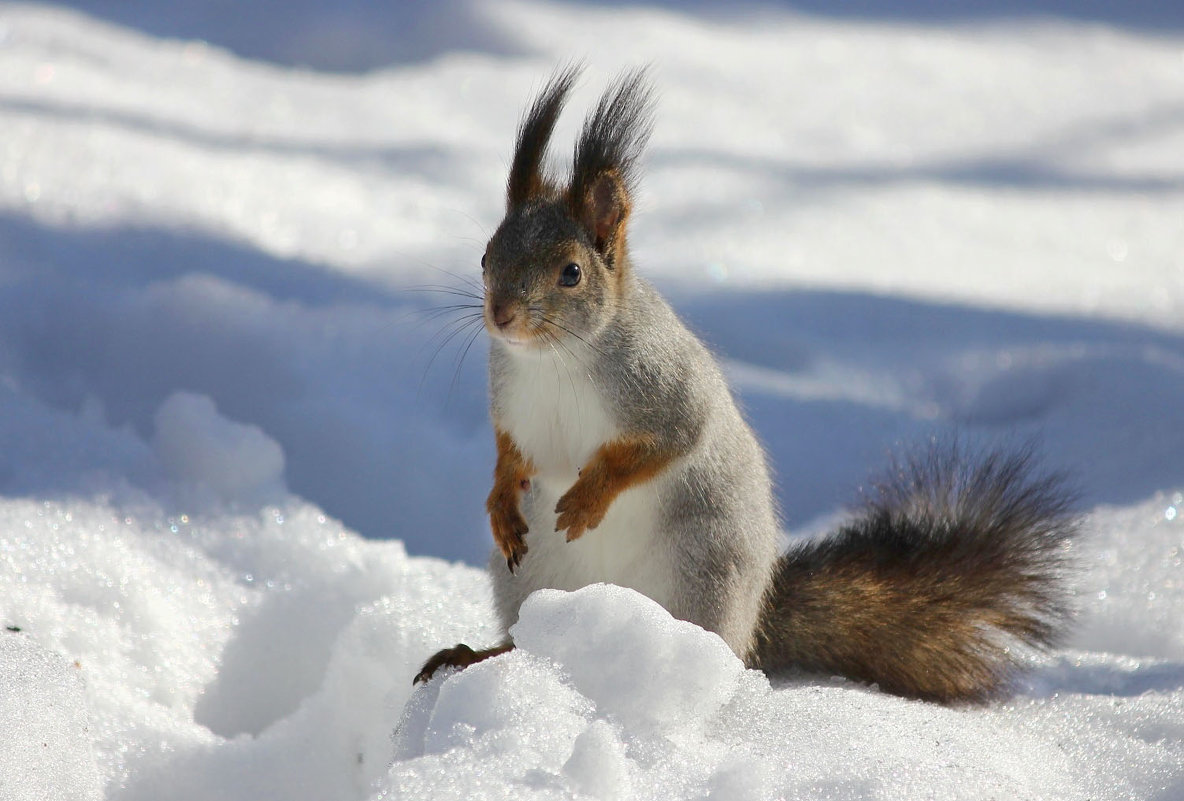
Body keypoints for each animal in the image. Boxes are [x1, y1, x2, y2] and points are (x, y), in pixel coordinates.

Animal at [419, 70, 1084, 705]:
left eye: (571, 273)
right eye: (486, 257)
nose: (501, 314)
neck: (553, 360)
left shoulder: (666, 388)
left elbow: (665, 445)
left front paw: (587, 500)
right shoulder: (511, 402)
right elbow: (510, 455)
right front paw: (500, 503)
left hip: (703, 570)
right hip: (531, 578)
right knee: (524, 634)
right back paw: (482, 654)